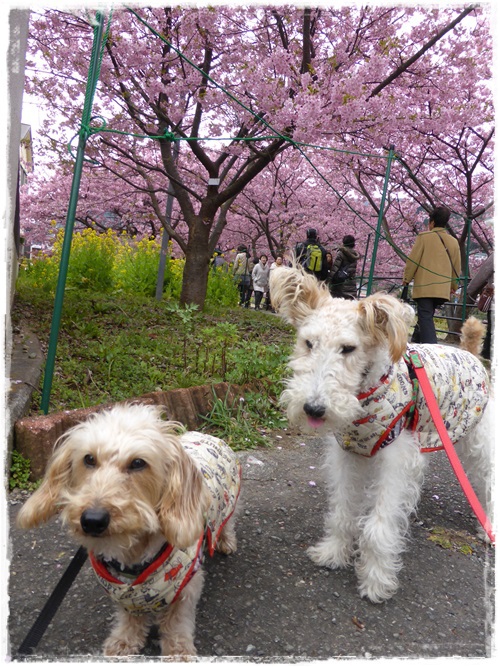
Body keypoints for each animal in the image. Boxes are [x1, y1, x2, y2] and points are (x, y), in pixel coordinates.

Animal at [17, 402, 240, 656]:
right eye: (89, 459)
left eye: (138, 463)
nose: (92, 520)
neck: (133, 555)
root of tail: (205, 435)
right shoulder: (122, 592)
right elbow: (130, 616)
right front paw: (125, 640)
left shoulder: (186, 585)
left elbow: (176, 621)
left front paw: (178, 651)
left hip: (228, 504)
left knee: (227, 522)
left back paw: (225, 541)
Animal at [270, 266, 492, 604]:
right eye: (308, 343)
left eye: (348, 348)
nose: (313, 409)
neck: (366, 396)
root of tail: (469, 353)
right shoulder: (348, 454)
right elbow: (343, 511)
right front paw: (334, 553)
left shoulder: (396, 461)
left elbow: (377, 527)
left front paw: (376, 580)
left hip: (481, 440)